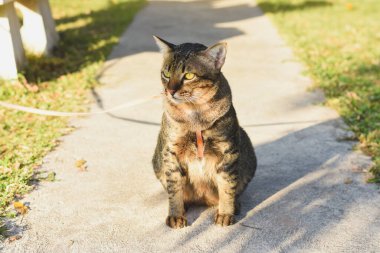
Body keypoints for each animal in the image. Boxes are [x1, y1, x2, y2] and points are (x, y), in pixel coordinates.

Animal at [151, 36, 255, 229]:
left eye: (189, 76)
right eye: (166, 74)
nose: (170, 91)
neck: (195, 116)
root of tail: (203, 198)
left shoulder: (228, 151)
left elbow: (227, 186)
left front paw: (225, 213)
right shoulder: (171, 151)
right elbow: (174, 188)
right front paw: (176, 214)